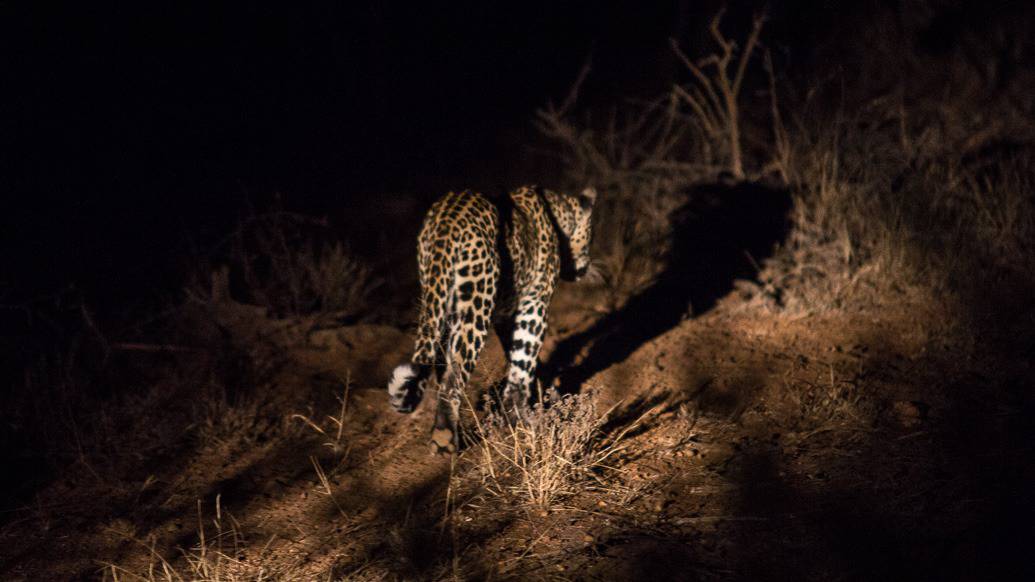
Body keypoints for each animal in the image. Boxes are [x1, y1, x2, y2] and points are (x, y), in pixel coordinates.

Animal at [389, 183, 600, 451]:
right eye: (590, 235)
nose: (585, 267)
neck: (556, 215)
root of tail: (445, 223)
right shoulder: (534, 304)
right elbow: (523, 362)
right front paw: (524, 419)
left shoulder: (506, 315)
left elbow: (517, 356)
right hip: (477, 304)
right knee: (454, 375)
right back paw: (445, 436)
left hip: (440, 301)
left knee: (441, 367)